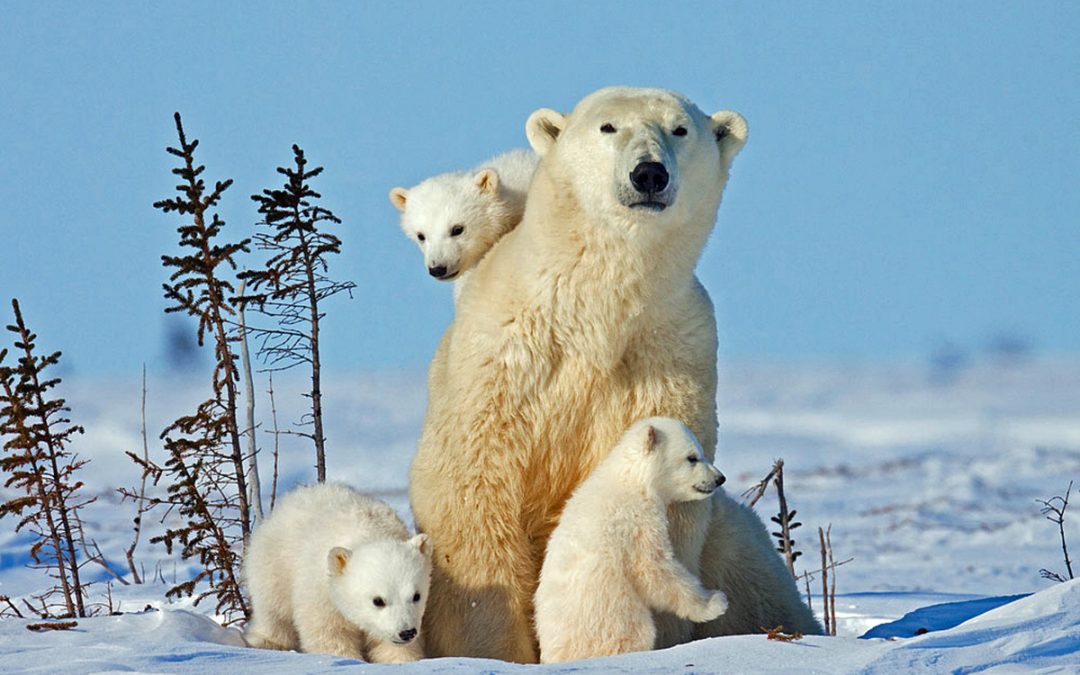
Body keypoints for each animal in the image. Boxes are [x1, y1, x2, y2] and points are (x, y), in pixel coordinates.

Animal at [242, 482, 432, 663]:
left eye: (416, 596)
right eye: (378, 600)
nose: (406, 632)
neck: (370, 533)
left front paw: (404, 660)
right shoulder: (321, 594)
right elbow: (329, 633)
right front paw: (344, 658)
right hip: (274, 565)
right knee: (274, 610)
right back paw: (266, 641)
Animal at [535, 417, 729, 663]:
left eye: (701, 452)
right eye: (692, 457)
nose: (719, 478)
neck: (632, 480)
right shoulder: (636, 521)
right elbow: (653, 569)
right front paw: (715, 602)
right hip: (612, 620)